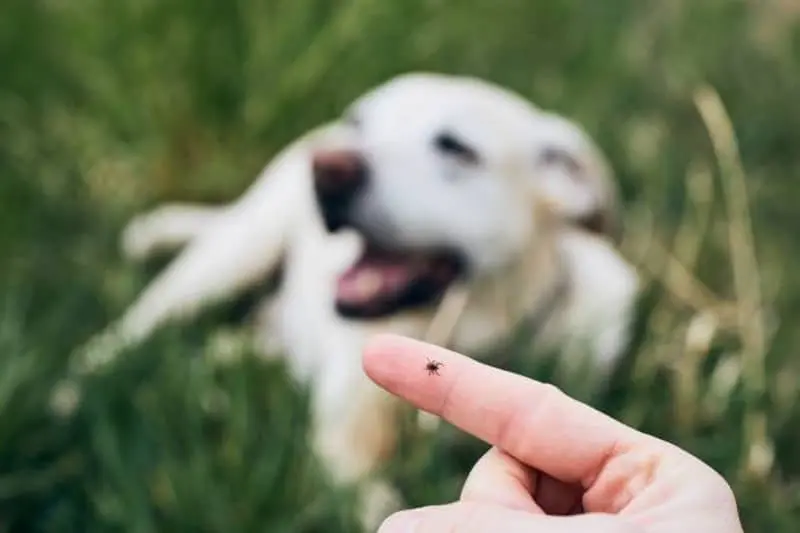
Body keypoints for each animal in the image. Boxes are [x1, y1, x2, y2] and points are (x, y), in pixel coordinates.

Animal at [73, 72, 636, 528]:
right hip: (231, 256)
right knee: (130, 332)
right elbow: (374, 502)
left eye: (456, 148)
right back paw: (72, 392)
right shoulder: (345, 445)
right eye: (359, 123)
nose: (326, 169)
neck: (468, 332)